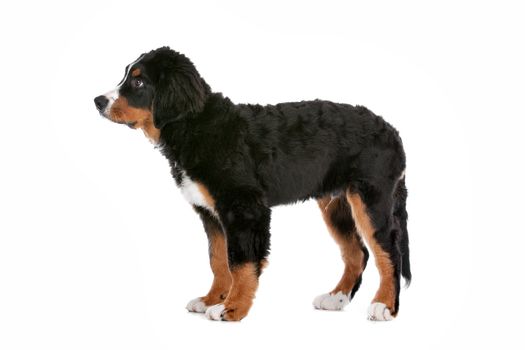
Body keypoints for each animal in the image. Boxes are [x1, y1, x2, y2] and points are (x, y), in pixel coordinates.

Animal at [95, 47, 414, 322]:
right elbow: (218, 259)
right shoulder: (211, 212)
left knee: (388, 251)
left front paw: (232, 308)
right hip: (336, 204)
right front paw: (212, 299)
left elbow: (241, 261)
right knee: (357, 252)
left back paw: (384, 305)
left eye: (138, 81)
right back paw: (336, 297)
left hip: (371, 198)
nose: (98, 101)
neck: (195, 126)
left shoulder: (244, 207)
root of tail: (392, 131)